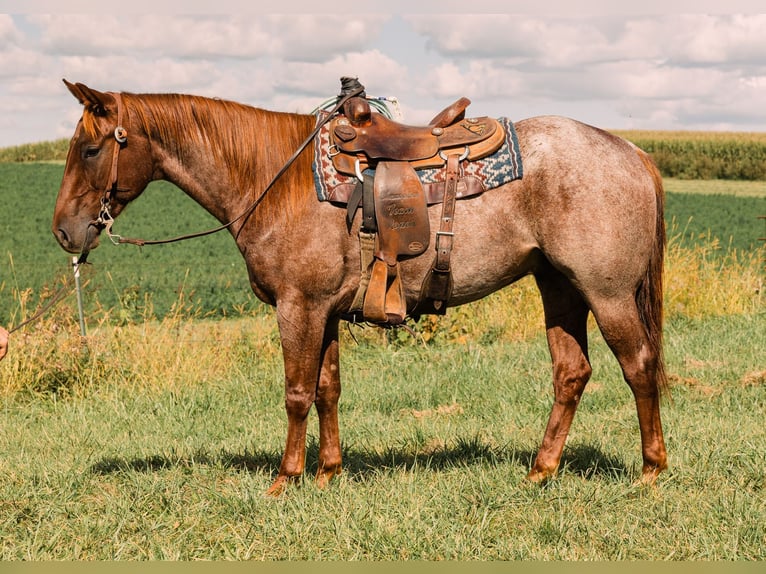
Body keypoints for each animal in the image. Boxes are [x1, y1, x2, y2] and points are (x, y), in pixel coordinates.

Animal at [51, 79, 668, 498]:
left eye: (89, 149)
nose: (63, 231)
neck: (275, 180)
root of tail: (631, 151)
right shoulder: (323, 310)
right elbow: (327, 388)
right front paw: (328, 474)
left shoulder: (297, 308)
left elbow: (297, 392)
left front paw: (285, 480)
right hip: (559, 287)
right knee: (572, 374)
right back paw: (541, 470)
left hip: (606, 293)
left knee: (639, 365)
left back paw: (650, 471)